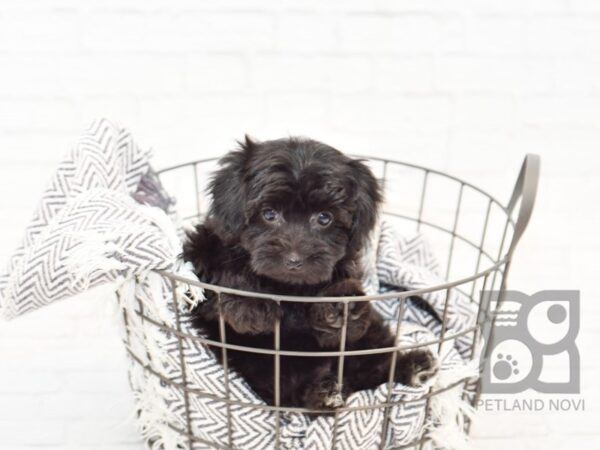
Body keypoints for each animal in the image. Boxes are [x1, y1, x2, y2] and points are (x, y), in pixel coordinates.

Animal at [182, 138, 436, 412]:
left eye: (324, 218)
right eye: (269, 214)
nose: (295, 260)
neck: (288, 289)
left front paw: (341, 307)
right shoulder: (202, 253)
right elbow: (222, 265)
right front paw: (250, 302)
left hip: (369, 338)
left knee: (374, 364)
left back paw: (411, 368)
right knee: (292, 392)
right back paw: (324, 392)